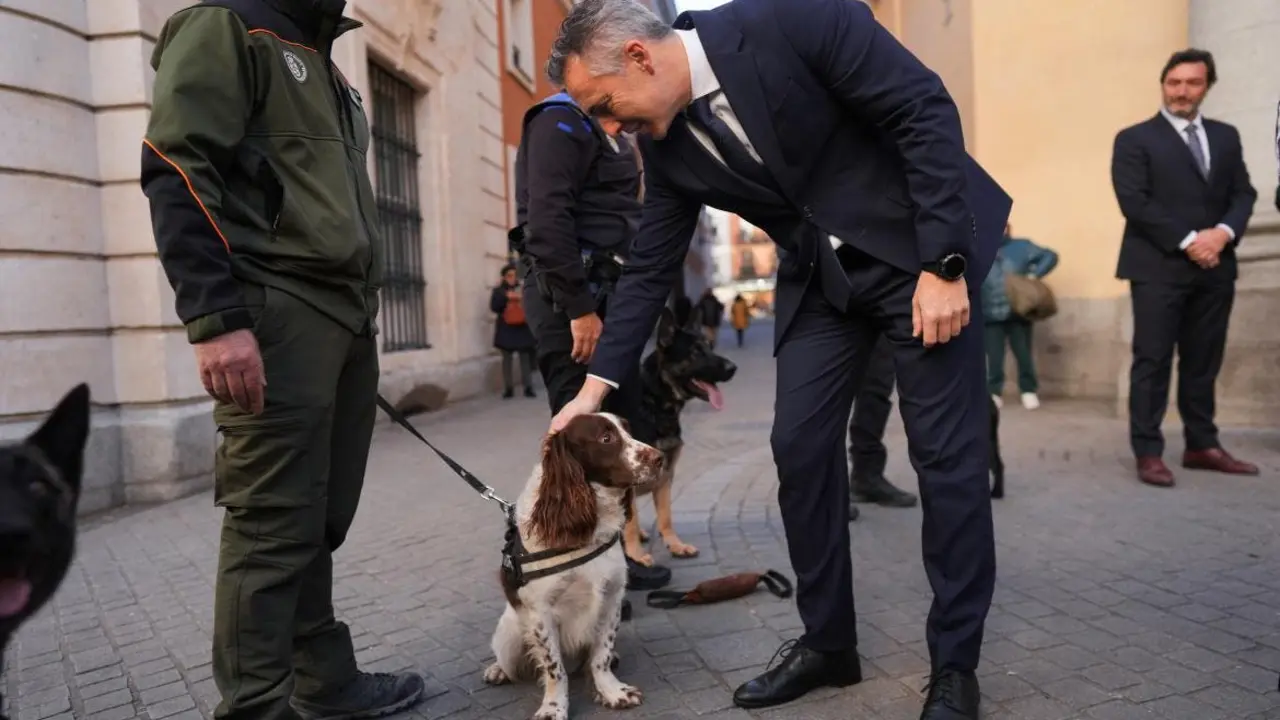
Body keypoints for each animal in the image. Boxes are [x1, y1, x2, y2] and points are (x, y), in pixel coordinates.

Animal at [483, 412, 664, 720]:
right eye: (606, 438)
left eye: (628, 430)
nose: (660, 457)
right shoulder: (541, 613)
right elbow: (555, 670)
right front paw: (553, 707)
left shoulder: (612, 596)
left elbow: (601, 655)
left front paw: (612, 692)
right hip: (509, 637)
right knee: (509, 661)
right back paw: (497, 670)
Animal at [624, 307, 737, 567]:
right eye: (695, 352)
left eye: (709, 347)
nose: (733, 368)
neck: (655, 405)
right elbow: (630, 523)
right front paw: (635, 555)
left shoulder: (665, 475)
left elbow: (666, 516)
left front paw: (675, 545)